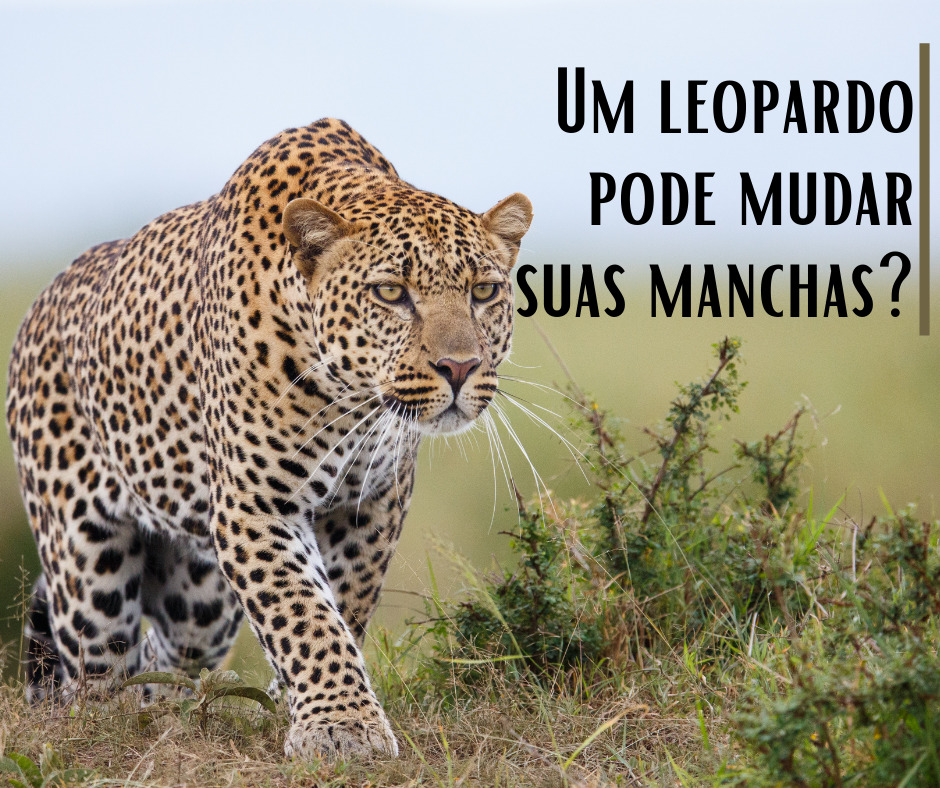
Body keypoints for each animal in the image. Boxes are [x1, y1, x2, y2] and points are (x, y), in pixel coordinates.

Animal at [5, 118, 532, 759]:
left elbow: (341, 607)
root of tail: (42, 302)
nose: (459, 367)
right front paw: (341, 725)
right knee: (97, 672)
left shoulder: (371, 506)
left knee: (166, 655)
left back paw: (173, 714)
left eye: (484, 292)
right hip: (86, 565)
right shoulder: (255, 506)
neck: (349, 399)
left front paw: (300, 707)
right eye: (391, 293)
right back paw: (117, 726)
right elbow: (302, 611)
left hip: (198, 599)